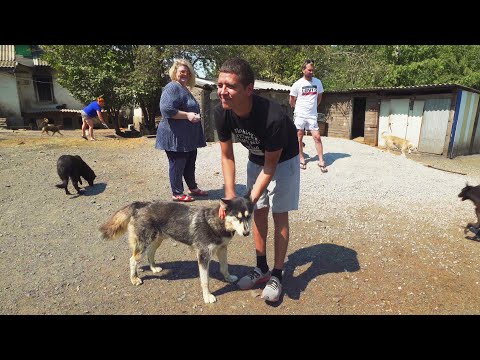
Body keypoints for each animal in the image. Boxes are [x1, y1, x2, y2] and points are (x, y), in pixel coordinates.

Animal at [98, 191, 255, 304]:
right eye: (237, 217)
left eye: (248, 216)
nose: (247, 233)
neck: (216, 222)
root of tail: (140, 204)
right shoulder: (203, 256)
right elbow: (205, 281)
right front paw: (207, 296)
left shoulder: (222, 249)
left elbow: (225, 267)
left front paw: (228, 277)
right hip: (143, 243)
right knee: (132, 260)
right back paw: (134, 278)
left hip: (157, 240)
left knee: (150, 253)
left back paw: (153, 268)